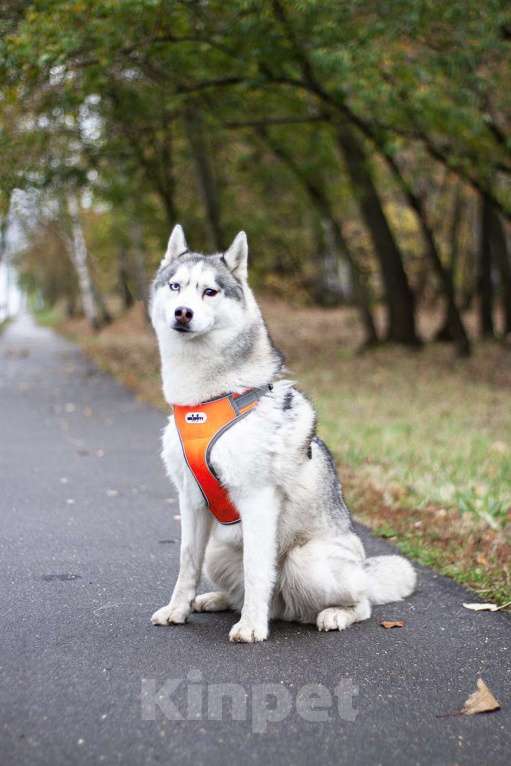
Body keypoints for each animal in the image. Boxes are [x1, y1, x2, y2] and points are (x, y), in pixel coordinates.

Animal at [149, 226, 416, 640]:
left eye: (210, 291)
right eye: (176, 286)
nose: (183, 312)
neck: (206, 400)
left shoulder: (257, 500)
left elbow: (257, 571)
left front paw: (251, 628)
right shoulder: (191, 502)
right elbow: (186, 563)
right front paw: (178, 610)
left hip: (307, 563)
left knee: (361, 602)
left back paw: (332, 614)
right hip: (219, 551)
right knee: (243, 590)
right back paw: (218, 600)